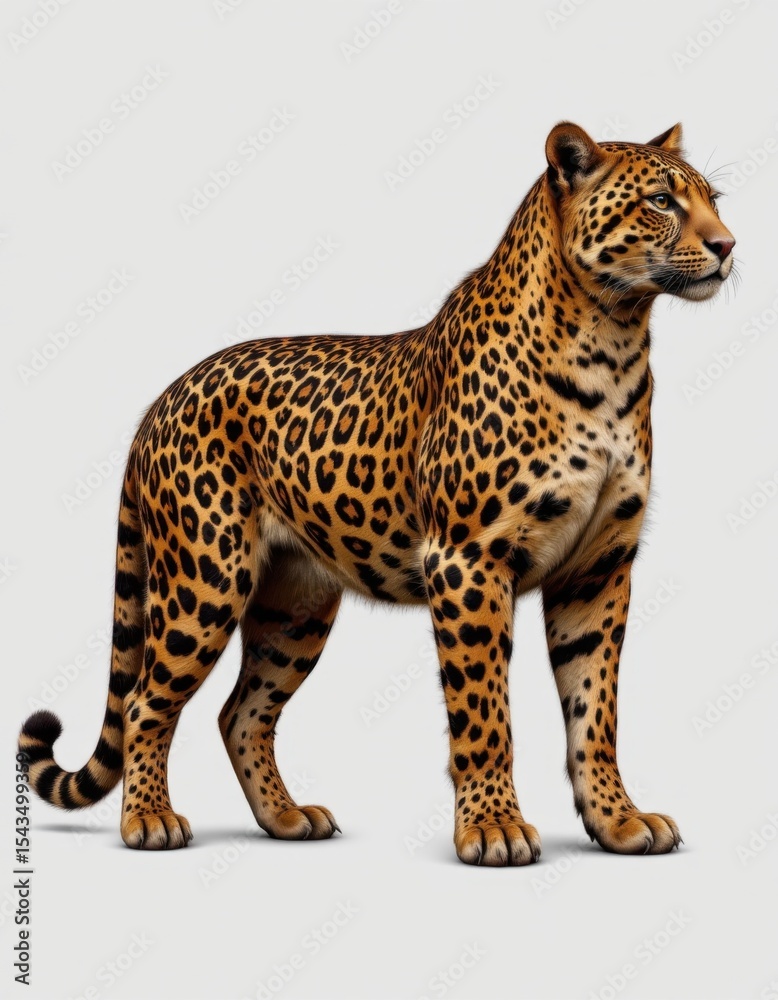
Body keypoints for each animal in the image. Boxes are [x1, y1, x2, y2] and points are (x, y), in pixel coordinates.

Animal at [19, 122, 735, 865]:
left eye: (713, 201)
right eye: (661, 201)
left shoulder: (598, 568)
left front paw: (618, 821)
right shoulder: (469, 560)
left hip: (295, 604)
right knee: (145, 702)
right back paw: (149, 821)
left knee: (241, 712)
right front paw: (493, 829)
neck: (613, 342)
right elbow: (484, 714)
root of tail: (161, 399)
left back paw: (285, 817)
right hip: (204, 580)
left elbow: (595, 710)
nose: (728, 246)